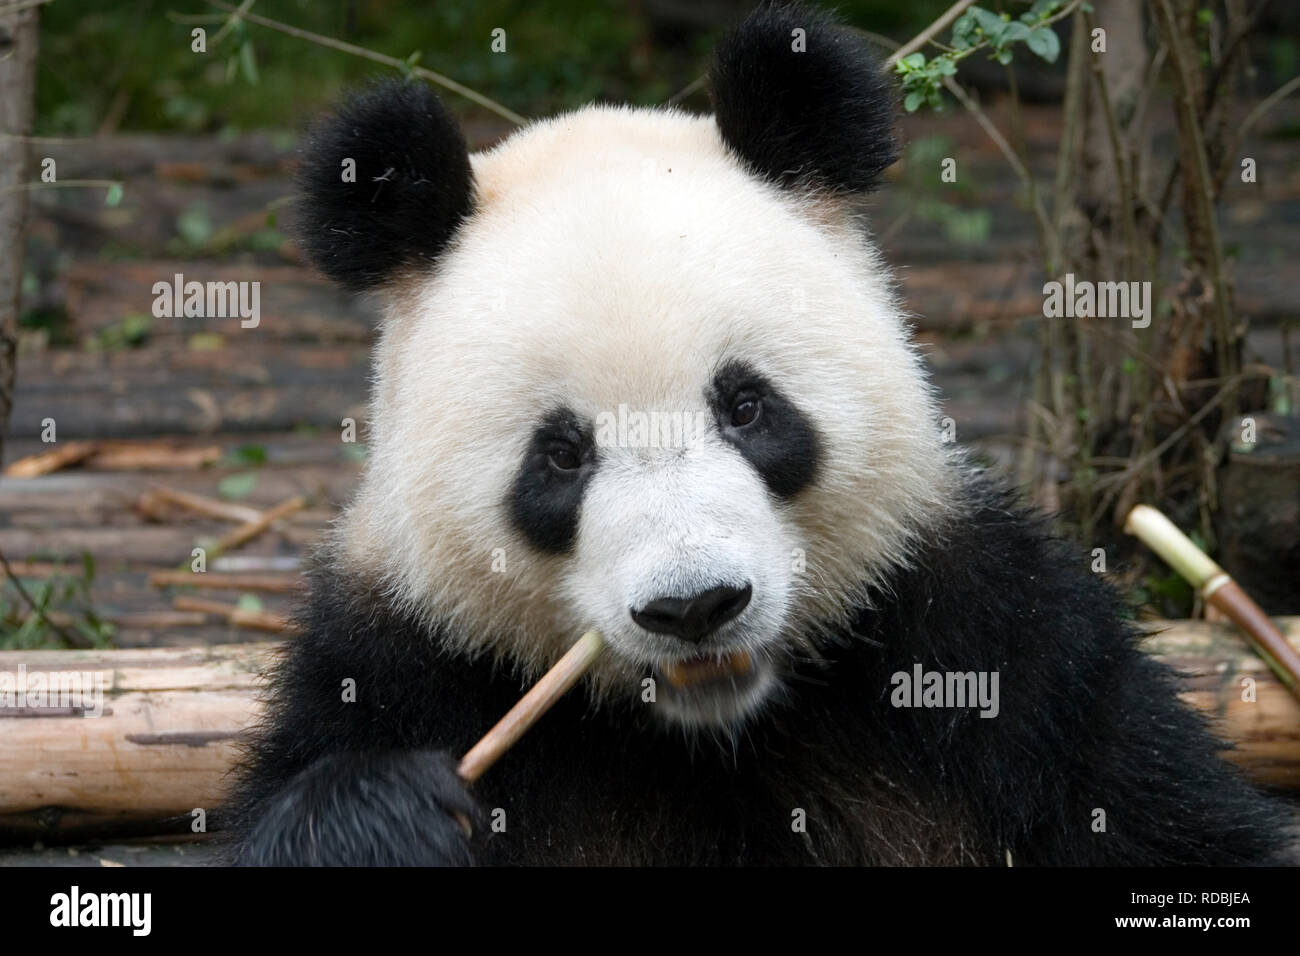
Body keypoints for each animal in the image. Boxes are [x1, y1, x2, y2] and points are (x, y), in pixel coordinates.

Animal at [224, 3, 1288, 866]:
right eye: (561, 455)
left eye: (745, 408)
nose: (694, 606)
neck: (715, 732)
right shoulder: (398, 664)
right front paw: (375, 819)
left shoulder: (1000, 649)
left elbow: (1168, 818)